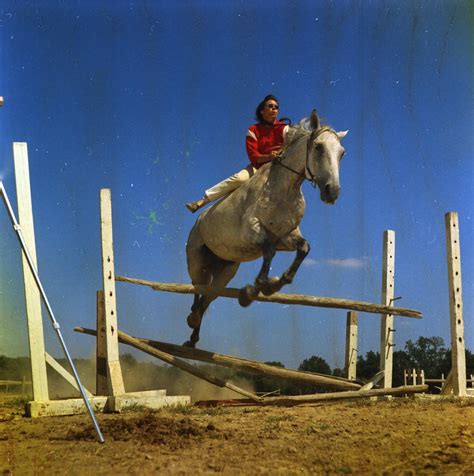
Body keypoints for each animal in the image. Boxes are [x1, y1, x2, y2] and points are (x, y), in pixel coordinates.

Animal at [183, 110, 346, 346]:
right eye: (318, 147)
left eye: (342, 153)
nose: (331, 192)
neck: (285, 189)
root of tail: (198, 221)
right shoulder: (251, 230)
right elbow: (268, 250)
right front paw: (255, 289)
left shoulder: (285, 236)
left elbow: (303, 248)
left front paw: (275, 284)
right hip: (197, 262)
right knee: (198, 288)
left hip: (226, 271)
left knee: (208, 296)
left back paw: (193, 335)